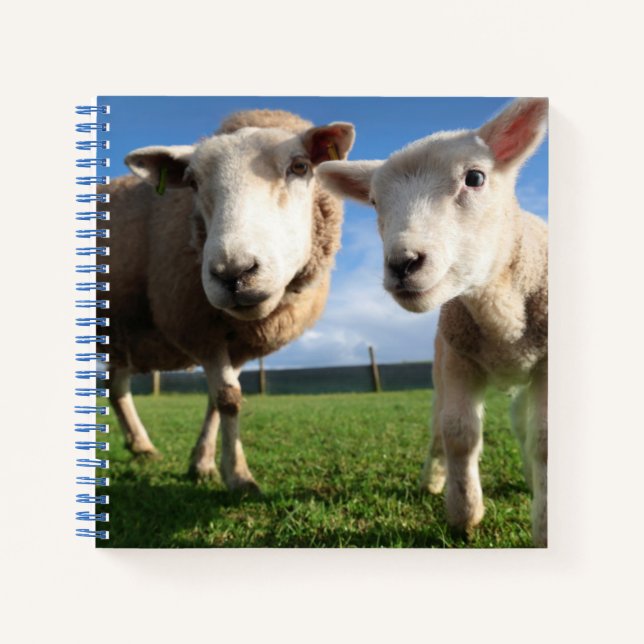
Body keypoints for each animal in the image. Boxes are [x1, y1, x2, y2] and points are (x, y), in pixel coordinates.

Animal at [98, 109, 354, 493]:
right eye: (191, 182)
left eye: (300, 166)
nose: (234, 273)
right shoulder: (200, 328)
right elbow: (228, 400)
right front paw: (238, 475)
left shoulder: (236, 342)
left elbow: (216, 401)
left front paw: (202, 463)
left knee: (116, 387)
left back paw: (141, 445)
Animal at [316, 98, 549, 546]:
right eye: (374, 202)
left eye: (475, 178)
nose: (402, 264)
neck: (500, 315)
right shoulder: (458, 359)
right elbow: (459, 433)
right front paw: (464, 514)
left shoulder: (547, 364)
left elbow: (543, 439)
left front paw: (544, 524)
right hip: (440, 364)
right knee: (440, 423)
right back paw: (432, 479)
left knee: (523, 427)